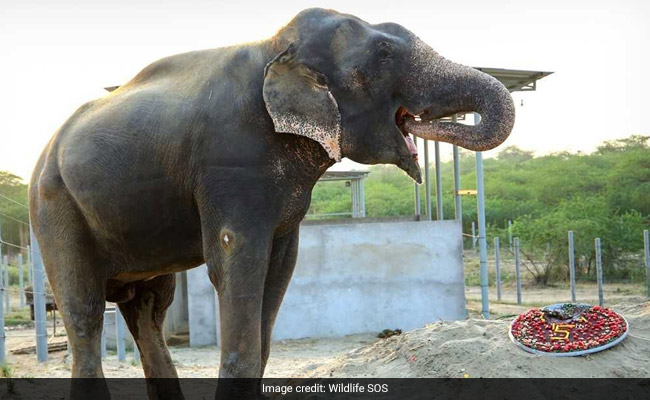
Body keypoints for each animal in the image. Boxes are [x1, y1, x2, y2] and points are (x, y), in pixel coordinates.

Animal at [29, 8, 514, 399]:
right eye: (383, 53)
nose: (423, 124)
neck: (276, 48)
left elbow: (280, 268)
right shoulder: (230, 160)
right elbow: (234, 258)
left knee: (149, 309)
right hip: (54, 205)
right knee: (85, 310)